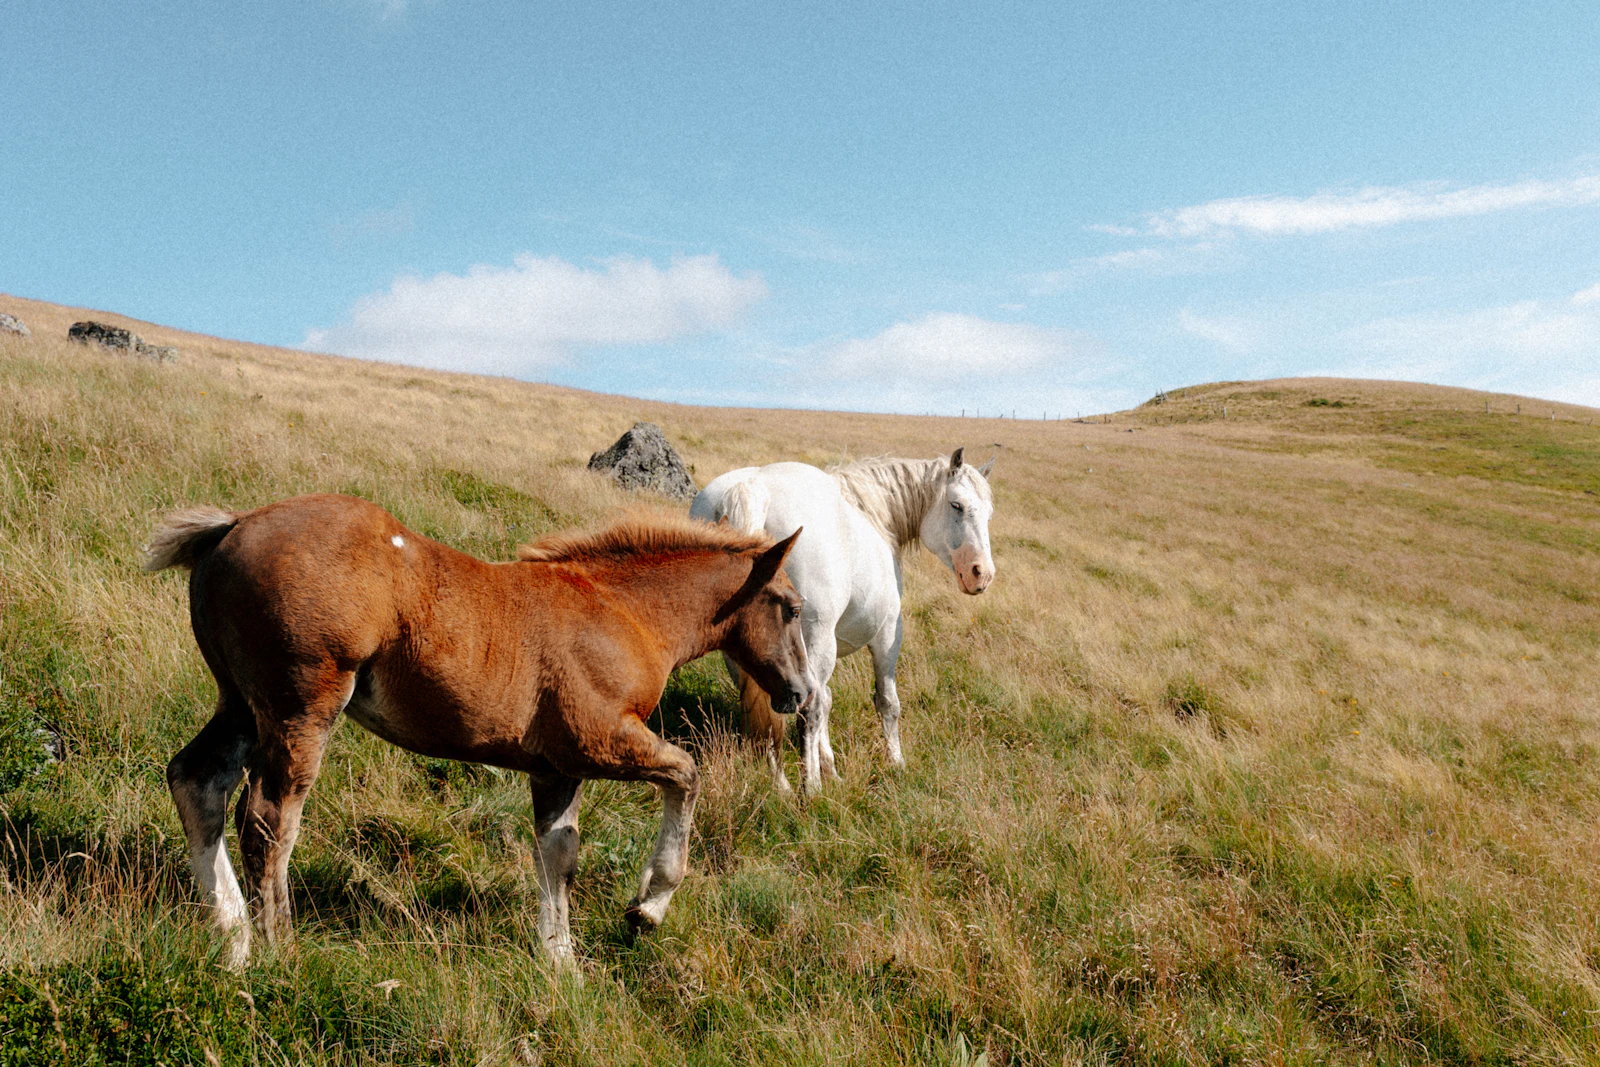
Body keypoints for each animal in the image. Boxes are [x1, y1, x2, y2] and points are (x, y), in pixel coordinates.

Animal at [145, 493, 810, 969]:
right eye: (792, 607)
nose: (801, 694)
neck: (624, 611)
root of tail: (232, 527)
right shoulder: (599, 741)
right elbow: (688, 775)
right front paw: (648, 906)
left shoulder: (555, 768)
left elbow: (559, 854)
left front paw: (561, 964)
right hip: (301, 707)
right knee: (267, 819)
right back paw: (278, 952)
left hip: (241, 705)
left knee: (197, 783)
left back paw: (233, 942)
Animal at [690, 448, 995, 794]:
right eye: (956, 505)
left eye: (988, 514)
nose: (982, 574)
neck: (875, 517)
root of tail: (753, 489)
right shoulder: (887, 635)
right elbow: (886, 702)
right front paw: (895, 762)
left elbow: (826, 700)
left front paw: (831, 767)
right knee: (807, 710)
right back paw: (811, 788)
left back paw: (782, 785)